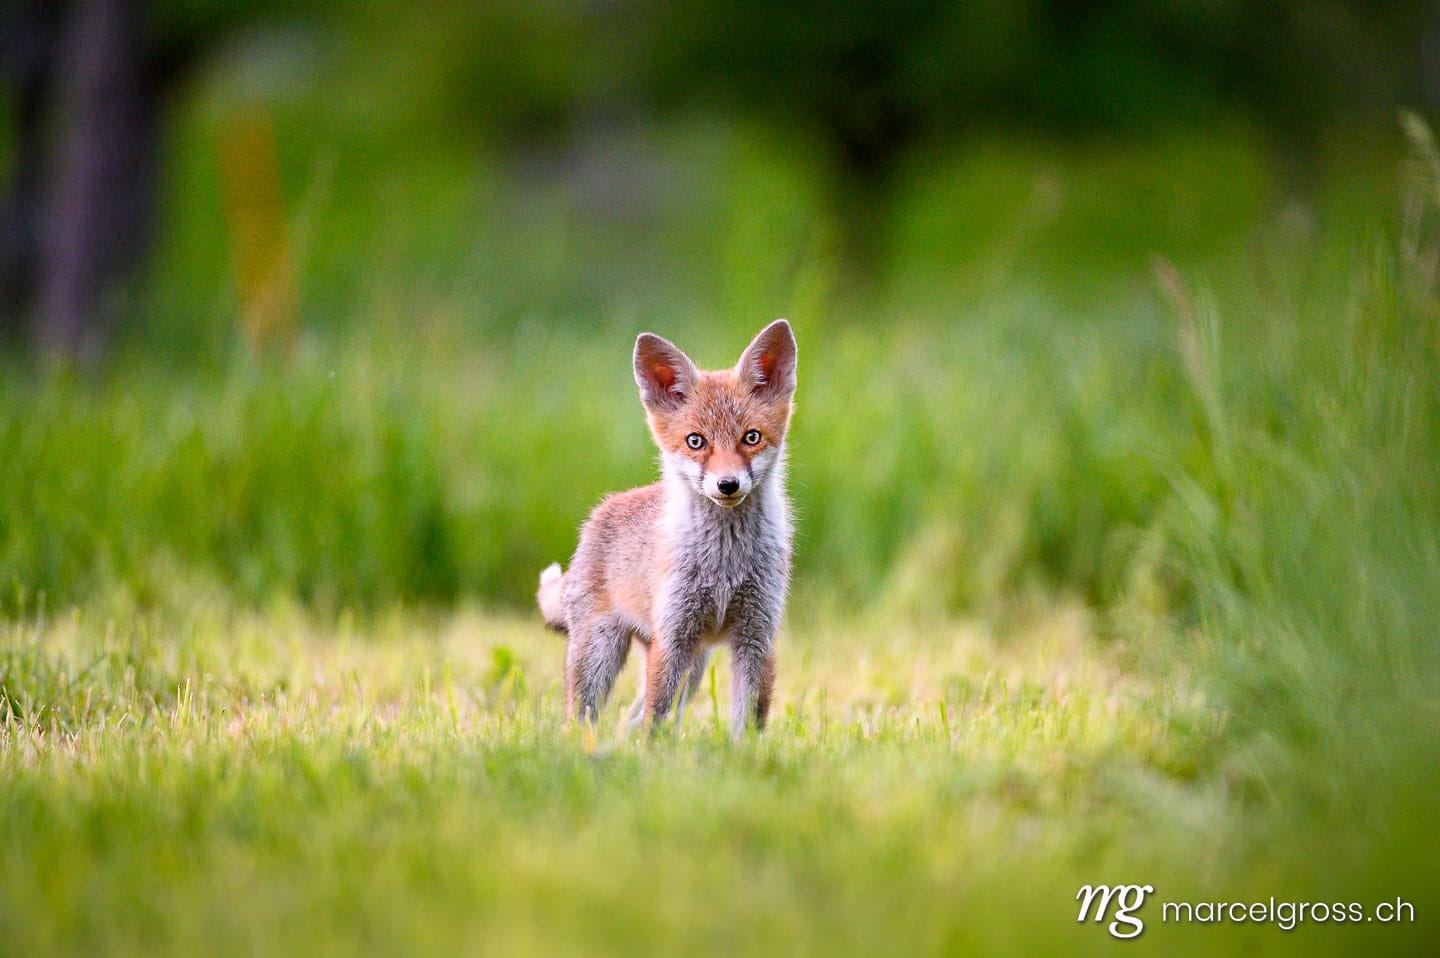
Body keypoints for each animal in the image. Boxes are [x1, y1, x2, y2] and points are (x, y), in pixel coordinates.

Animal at [536, 319, 797, 737]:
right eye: (696, 441)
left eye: (751, 437)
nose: (727, 485)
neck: (725, 565)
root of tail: (597, 514)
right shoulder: (674, 636)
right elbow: (656, 721)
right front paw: (654, 755)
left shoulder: (756, 636)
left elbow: (747, 723)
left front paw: (744, 755)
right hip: (603, 654)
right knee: (585, 716)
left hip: (693, 666)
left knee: (630, 718)